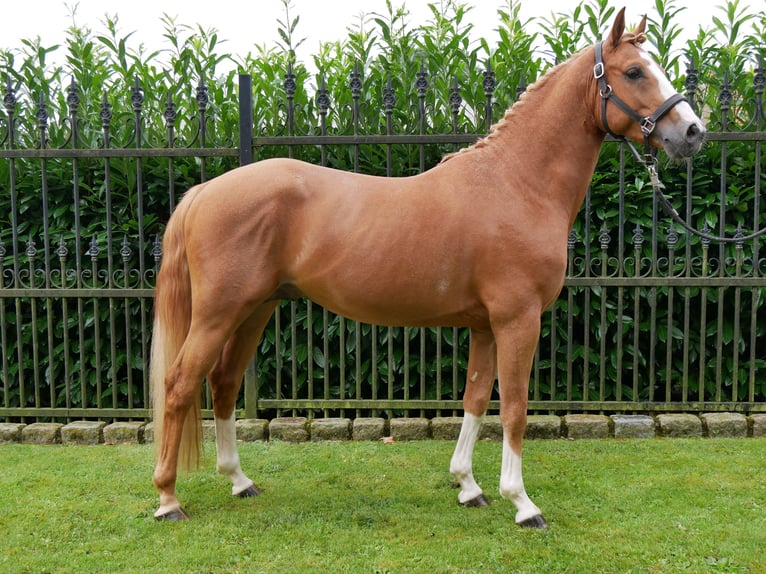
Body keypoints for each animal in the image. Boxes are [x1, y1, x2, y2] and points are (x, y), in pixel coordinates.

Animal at [152, 10, 708, 532]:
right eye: (634, 71)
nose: (692, 132)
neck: (517, 183)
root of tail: (204, 190)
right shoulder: (518, 320)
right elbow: (515, 407)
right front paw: (522, 504)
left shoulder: (485, 326)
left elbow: (476, 399)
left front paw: (468, 486)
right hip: (219, 313)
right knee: (180, 385)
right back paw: (168, 499)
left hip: (255, 309)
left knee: (223, 382)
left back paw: (239, 481)